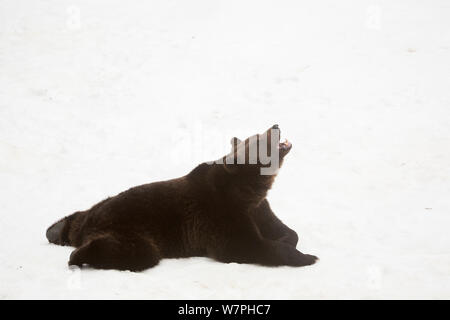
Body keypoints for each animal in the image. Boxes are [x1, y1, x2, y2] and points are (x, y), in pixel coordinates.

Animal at [46, 125, 316, 270]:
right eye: (259, 139)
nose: (275, 125)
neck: (248, 190)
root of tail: (90, 226)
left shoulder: (258, 208)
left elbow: (283, 229)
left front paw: (288, 239)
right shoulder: (220, 212)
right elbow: (242, 245)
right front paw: (307, 257)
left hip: (97, 210)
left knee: (77, 217)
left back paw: (56, 230)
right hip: (130, 227)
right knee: (137, 251)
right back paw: (78, 255)